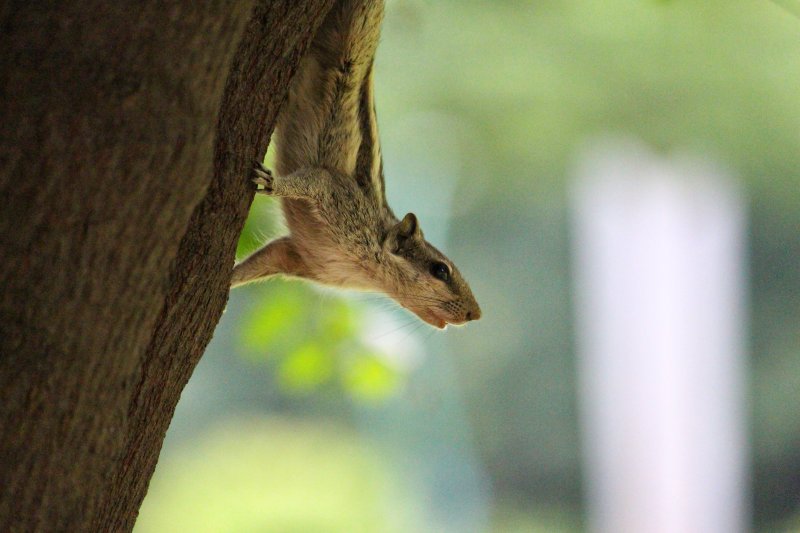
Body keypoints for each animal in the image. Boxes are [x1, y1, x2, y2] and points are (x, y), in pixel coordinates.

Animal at [231, 0, 482, 328]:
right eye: (440, 270)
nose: (475, 314)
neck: (366, 272)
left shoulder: (299, 257)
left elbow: (264, 259)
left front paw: (227, 284)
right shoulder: (338, 196)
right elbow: (314, 181)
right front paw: (272, 183)